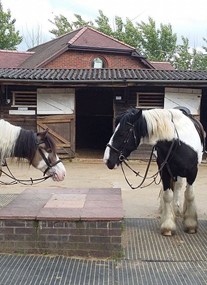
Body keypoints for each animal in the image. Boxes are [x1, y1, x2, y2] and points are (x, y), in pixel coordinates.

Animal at [104, 107, 205, 235]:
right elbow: (167, 195)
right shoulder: (165, 171)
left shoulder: (192, 172)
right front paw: (168, 225)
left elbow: (190, 194)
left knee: (181, 187)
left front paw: (191, 224)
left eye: (122, 133)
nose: (107, 160)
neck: (179, 143)